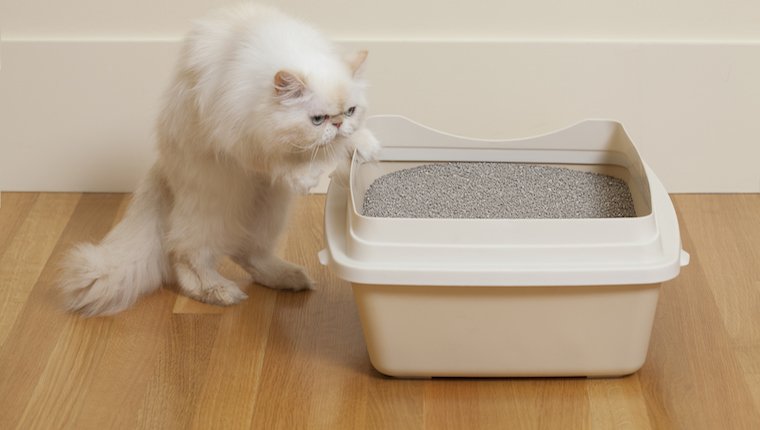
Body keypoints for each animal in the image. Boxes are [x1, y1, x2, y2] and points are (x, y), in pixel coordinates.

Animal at [58, 3, 380, 318]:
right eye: (317, 119)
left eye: (349, 111)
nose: (337, 124)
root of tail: (164, 165)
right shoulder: (241, 143)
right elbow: (278, 162)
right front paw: (305, 176)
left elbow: (349, 142)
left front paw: (365, 145)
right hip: (216, 207)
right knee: (184, 254)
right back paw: (220, 291)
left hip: (268, 207)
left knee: (248, 253)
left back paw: (288, 278)